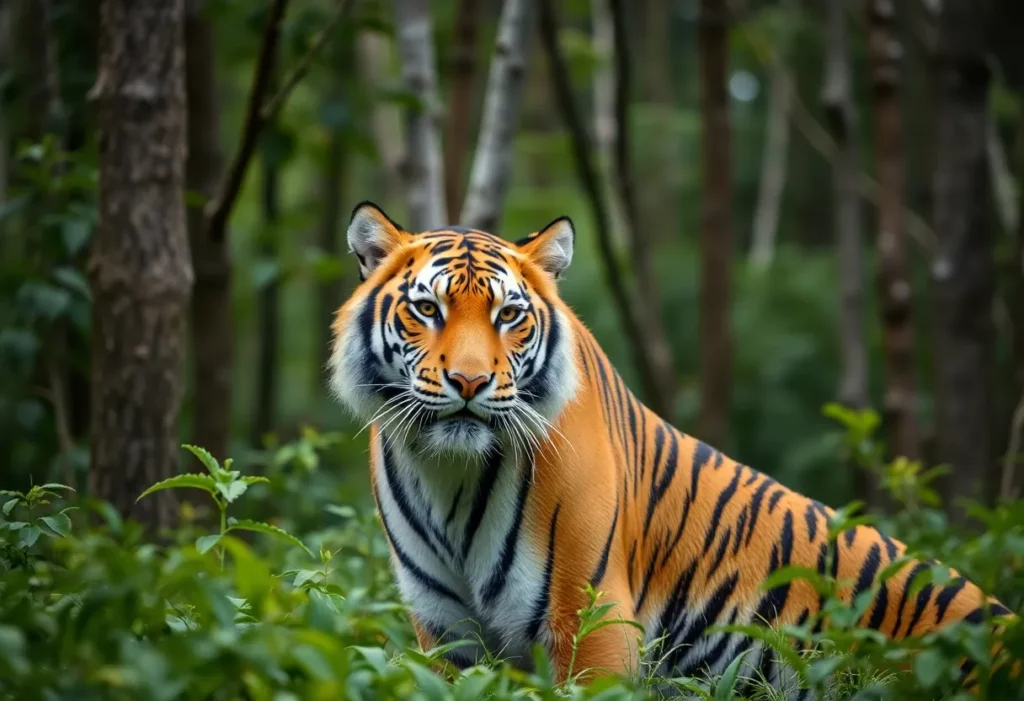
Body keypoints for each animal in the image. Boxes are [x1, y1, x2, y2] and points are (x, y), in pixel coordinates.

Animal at [328, 201, 1011, 695]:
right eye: (427, 308)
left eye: (508, 316)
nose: (468, 382)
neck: (451, 473)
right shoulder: (444, 630)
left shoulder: (591, 621)